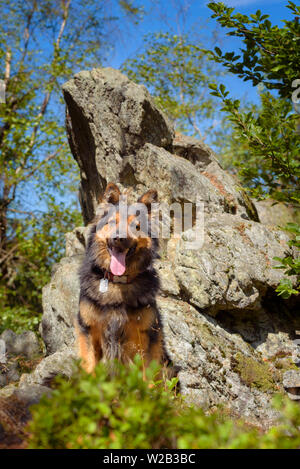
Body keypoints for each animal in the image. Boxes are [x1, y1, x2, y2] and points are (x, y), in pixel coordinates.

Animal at [75, 181, 170, 374]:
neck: (118, 282)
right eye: (112, 222)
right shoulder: (88, 329)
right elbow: (90, 367)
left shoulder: (144, 335)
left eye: (136, 226)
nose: (119, 238)